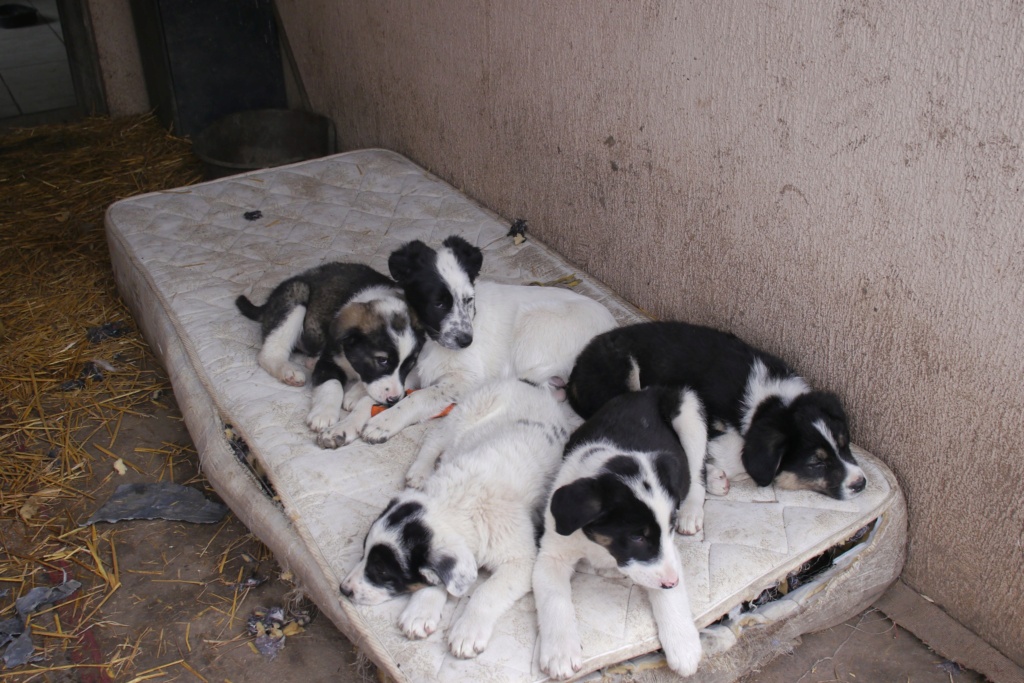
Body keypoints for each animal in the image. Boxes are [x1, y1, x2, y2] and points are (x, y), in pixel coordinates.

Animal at [317, 236, 614, 448]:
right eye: (439, 303)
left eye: (469, 299)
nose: (466, 341)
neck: (430, 342)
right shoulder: (409, 371)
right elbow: (384, 392)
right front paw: (344, 426)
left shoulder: (466, 378)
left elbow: (419, 397)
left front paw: (385, 422)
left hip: (534, 330)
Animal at [339, 378, 573, 655]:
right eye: (363, 553)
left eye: (382, 571)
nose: (343, 590)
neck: (457, 503)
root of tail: (528, 383)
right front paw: (421, 611)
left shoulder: (521, 561)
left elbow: (487, 591)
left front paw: (468, 631)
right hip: (463, 415)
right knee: (434, 440)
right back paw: (420, 472)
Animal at [536, 385, 704, 679]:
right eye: (637, 536)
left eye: (669, 527)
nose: (671, 582)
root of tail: (647, 391)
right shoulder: (551, 554)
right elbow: (553, 599)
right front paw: (560, 652)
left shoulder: (669, 552)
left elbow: (670, 597)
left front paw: (684, 646)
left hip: (689, 413)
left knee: (697, 476)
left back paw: (692, 511)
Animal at [565, 323, 868, 516]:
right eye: (816, 463)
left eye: (845, 445)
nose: (861, 483)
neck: (769, 402)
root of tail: (575, 370)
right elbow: (728, 453)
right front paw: (717, 474)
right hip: (623, 374)